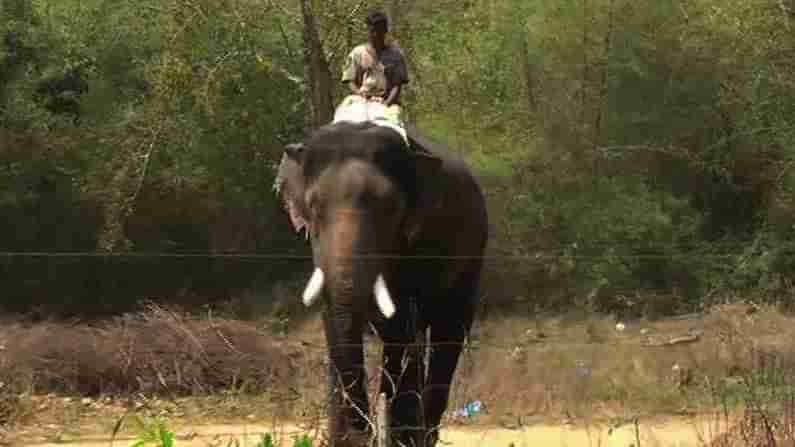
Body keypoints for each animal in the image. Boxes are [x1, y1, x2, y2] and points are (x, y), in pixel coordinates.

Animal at [276, 121, 488, 447]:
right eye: (313, 206)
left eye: (390, 209)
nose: (364, 432)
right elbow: (334, 321)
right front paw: (349, 440)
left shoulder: (414, 242)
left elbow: (400, 323)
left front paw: (397, 437)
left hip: (472, 256)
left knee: (447, 329)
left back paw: (422, 435)